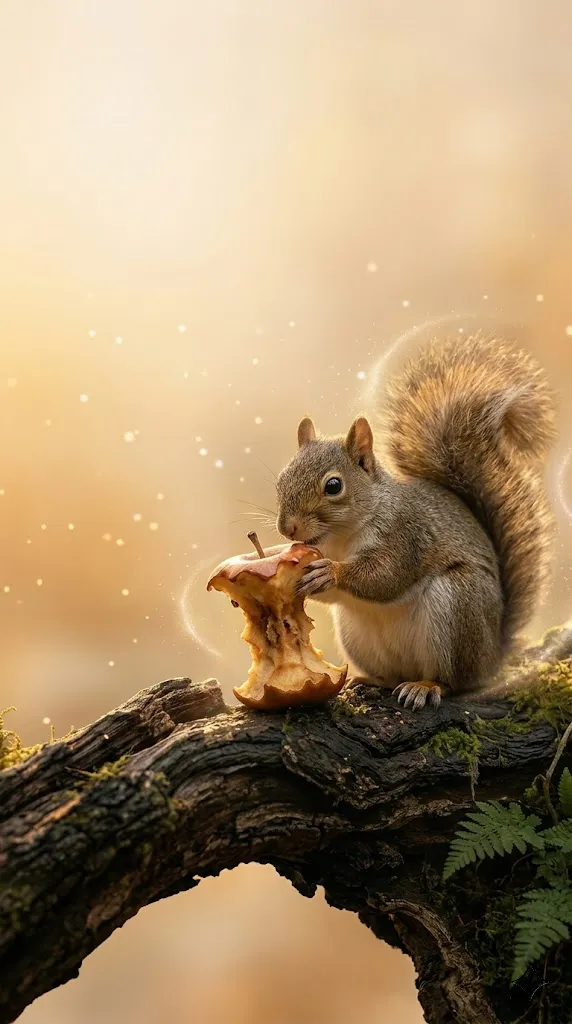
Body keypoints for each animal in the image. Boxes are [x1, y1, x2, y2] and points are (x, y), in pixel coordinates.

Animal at [275, 335, 557, 710]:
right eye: (281, 478)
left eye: (333, 486)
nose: (287, 529)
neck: (340, 538)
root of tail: (492, 656)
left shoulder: (407, 534)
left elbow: (385, 576)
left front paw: (330, 572)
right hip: (357, 635)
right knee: (393, 673)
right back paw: (371, 681)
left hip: (457, 606)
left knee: (453, 681)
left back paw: (425, 686)